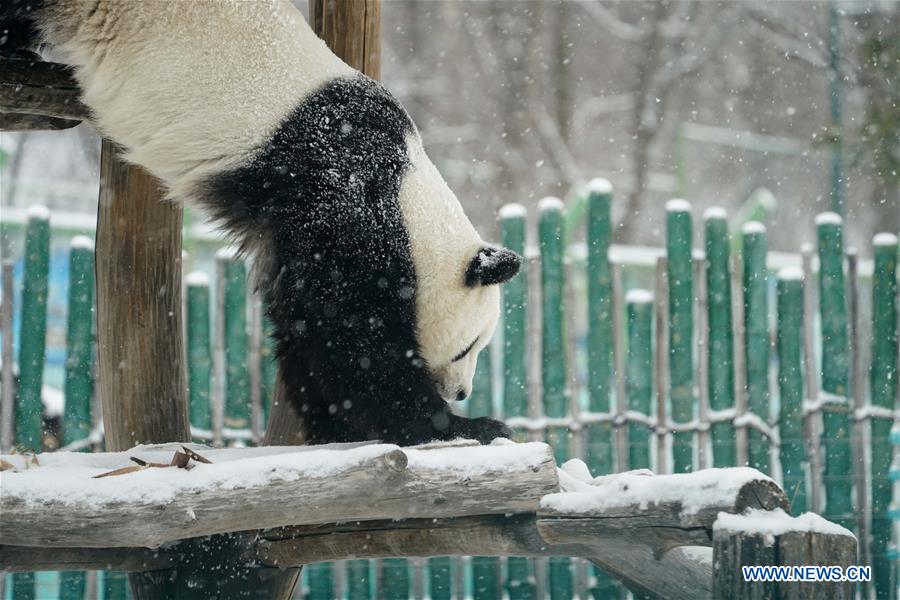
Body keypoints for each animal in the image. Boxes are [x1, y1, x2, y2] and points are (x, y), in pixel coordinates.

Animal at [1, 2, 520, 446]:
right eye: (468, 347)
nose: (460, 392)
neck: (407, 195)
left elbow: (304, 329)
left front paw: (334, 425)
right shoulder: (340, 197)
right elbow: (352, 333)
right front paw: (463, 425)